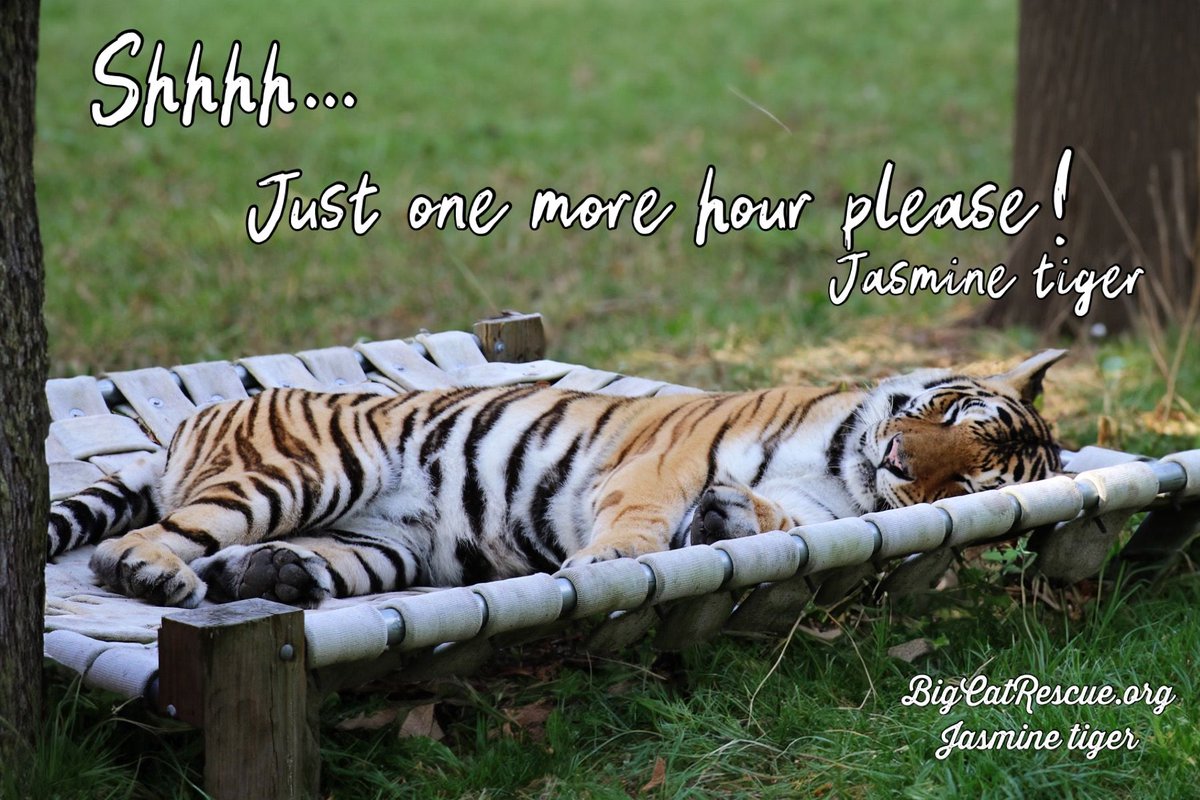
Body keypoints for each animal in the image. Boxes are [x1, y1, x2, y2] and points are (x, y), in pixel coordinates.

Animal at [47, 350, 1065, 609]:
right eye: (950, 417)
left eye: (964, 488)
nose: (899, 462)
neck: (841, 467)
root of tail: (185, 422)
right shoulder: (660, 465)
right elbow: (642, 523)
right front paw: (608, 568)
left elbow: (766, 518)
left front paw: (727, 521)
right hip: (310, 468)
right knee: (143, 543)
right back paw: (153, 576)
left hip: (383, 547)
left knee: (273, 558)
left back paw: (269, 576)